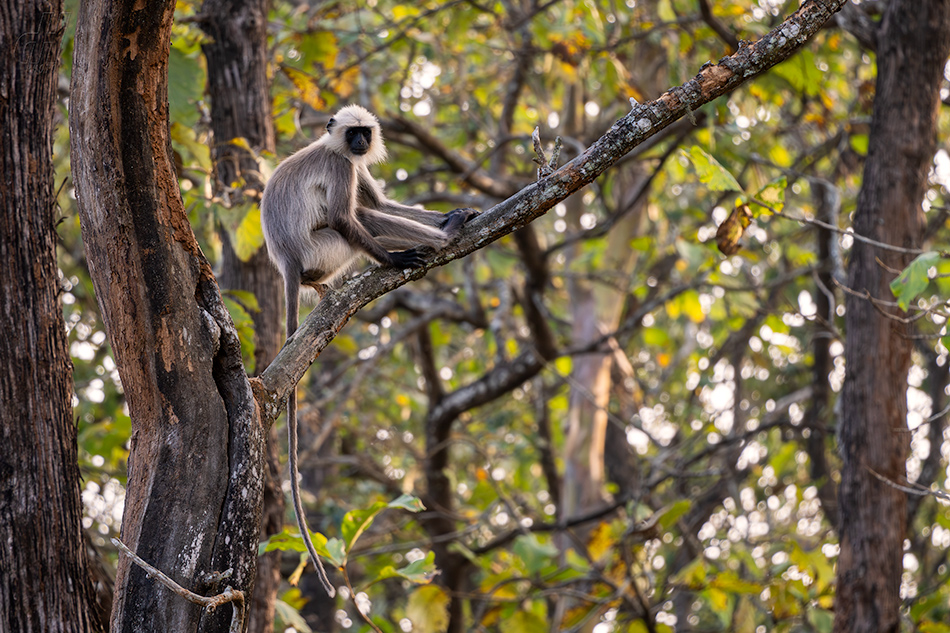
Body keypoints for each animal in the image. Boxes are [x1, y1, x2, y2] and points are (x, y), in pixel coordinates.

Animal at [260, 102, 476, 592]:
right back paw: (444, 239)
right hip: (324, 247)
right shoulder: (342, 167)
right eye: (353, 134)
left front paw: (456, 212)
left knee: (369, 213)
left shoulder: (353, 164)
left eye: (365, 133)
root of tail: (287, 260)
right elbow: (351, 216)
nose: (360, 144)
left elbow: (380, 203)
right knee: (357, 220)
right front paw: (402, 254)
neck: (336, 147)